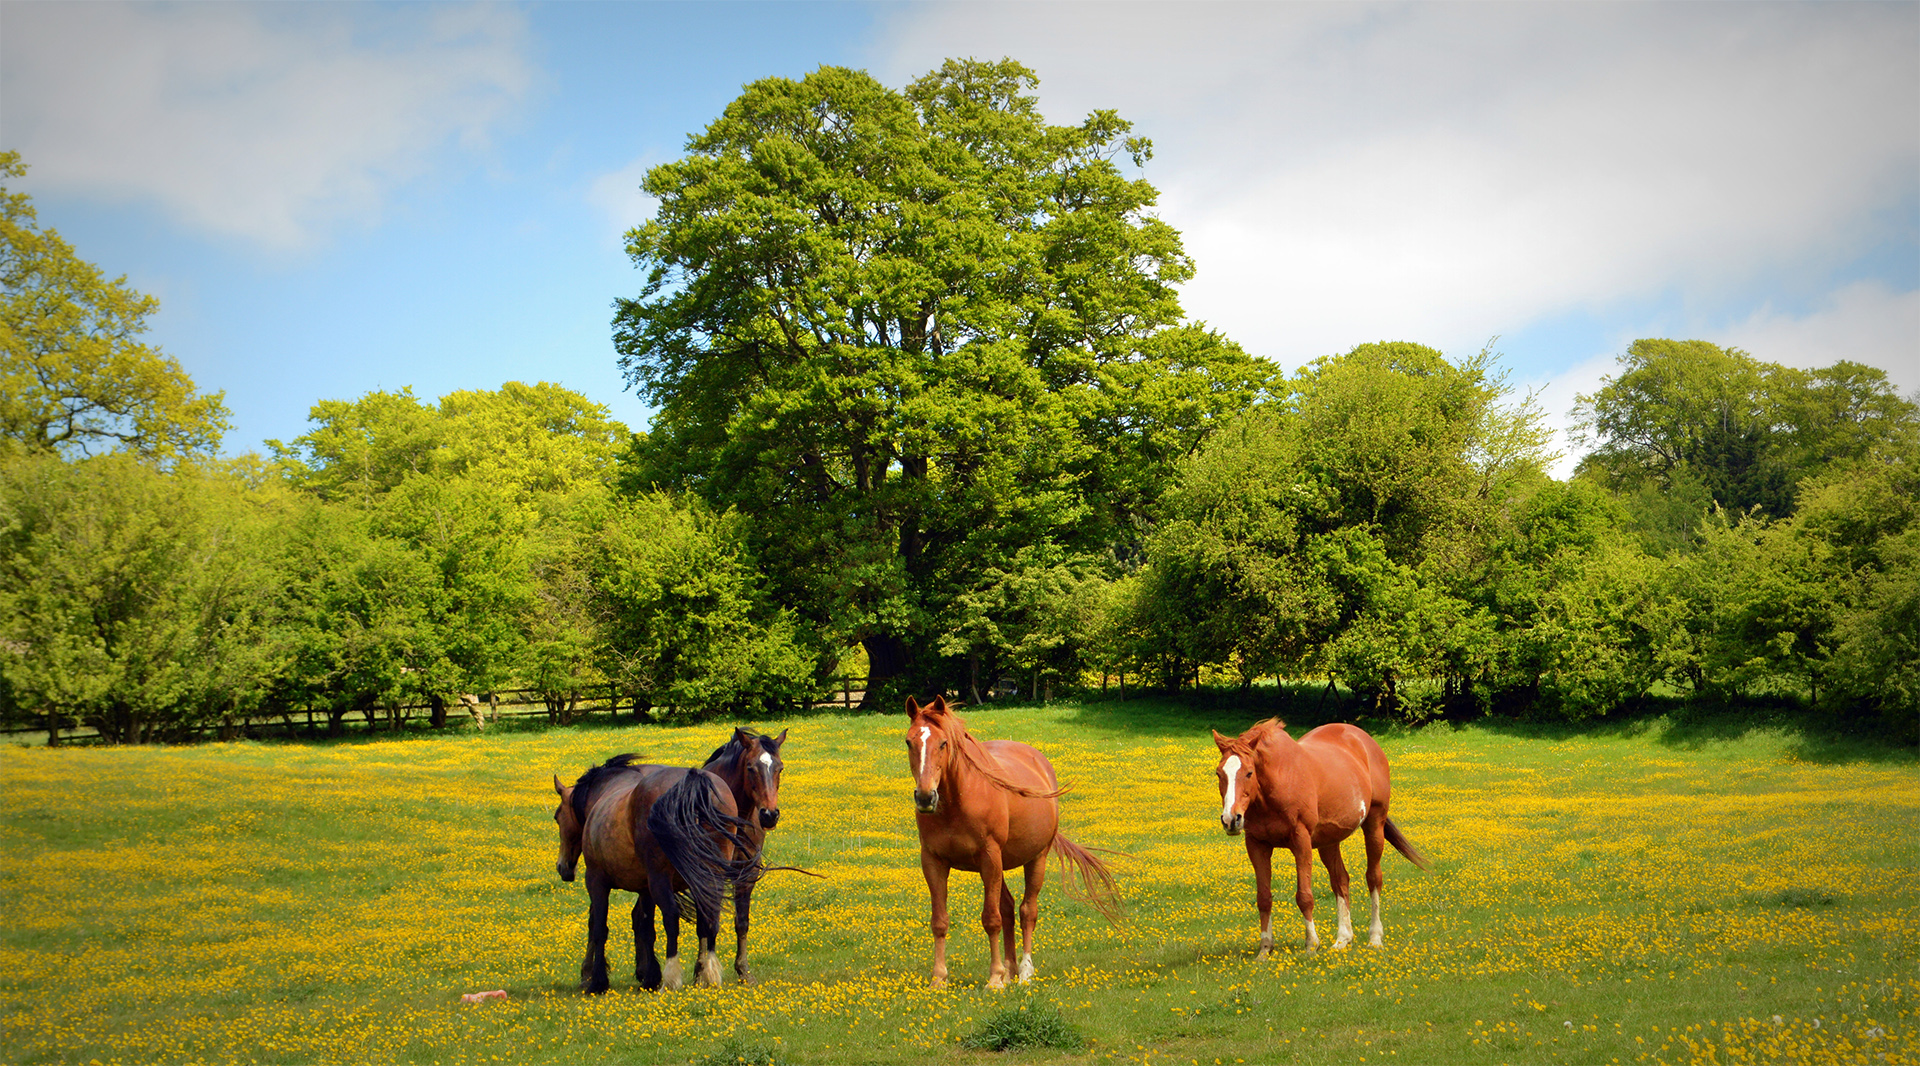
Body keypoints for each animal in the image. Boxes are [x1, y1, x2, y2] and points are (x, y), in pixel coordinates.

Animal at [551, 754, 762, 993]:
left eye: (557, 816)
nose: (563, 867)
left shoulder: (597, 881)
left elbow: (599, 927)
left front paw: (597, 980)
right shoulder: (645, 888)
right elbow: (645, 927)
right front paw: (650, 976)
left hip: (661, 880)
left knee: (671, 918)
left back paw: (672, 978)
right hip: (707, 877)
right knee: (709, 917)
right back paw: (708, 973)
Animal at [699, 727, 788, 984]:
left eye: (780, 768)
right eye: (750, 767)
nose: (769, 815)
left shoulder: (746, 875)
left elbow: (742, 923)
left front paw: (744, 972)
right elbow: (708, 922)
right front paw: (702, 974)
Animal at [904, 695, 1121, 989]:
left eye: (943, 743)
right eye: (909, 742)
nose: (926, 797)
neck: (958, 800)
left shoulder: (989, 857)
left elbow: (991, 919)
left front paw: (994, 979)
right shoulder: (933, 861)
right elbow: (940, 921)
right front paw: (939, 979)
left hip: (1034, 859)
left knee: (1027, 911)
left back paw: (1025, 972)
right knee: (1007, 909)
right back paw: (1010, 970)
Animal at [1211, 718, 1429, 957]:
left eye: (1249, 772)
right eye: (1219, 774)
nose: (1231, 819)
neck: (1278, 782)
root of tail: (1366, 742)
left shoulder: (1301, 842)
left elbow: (1305, 896)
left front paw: (1311, 945)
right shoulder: (1257, 845)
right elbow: (1264, 898)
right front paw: (1265, 950)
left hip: (1374, 825)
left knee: (1373, 878)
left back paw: (1375, 938)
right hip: (1329, 841)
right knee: (1341, 881)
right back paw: (1343, 939)